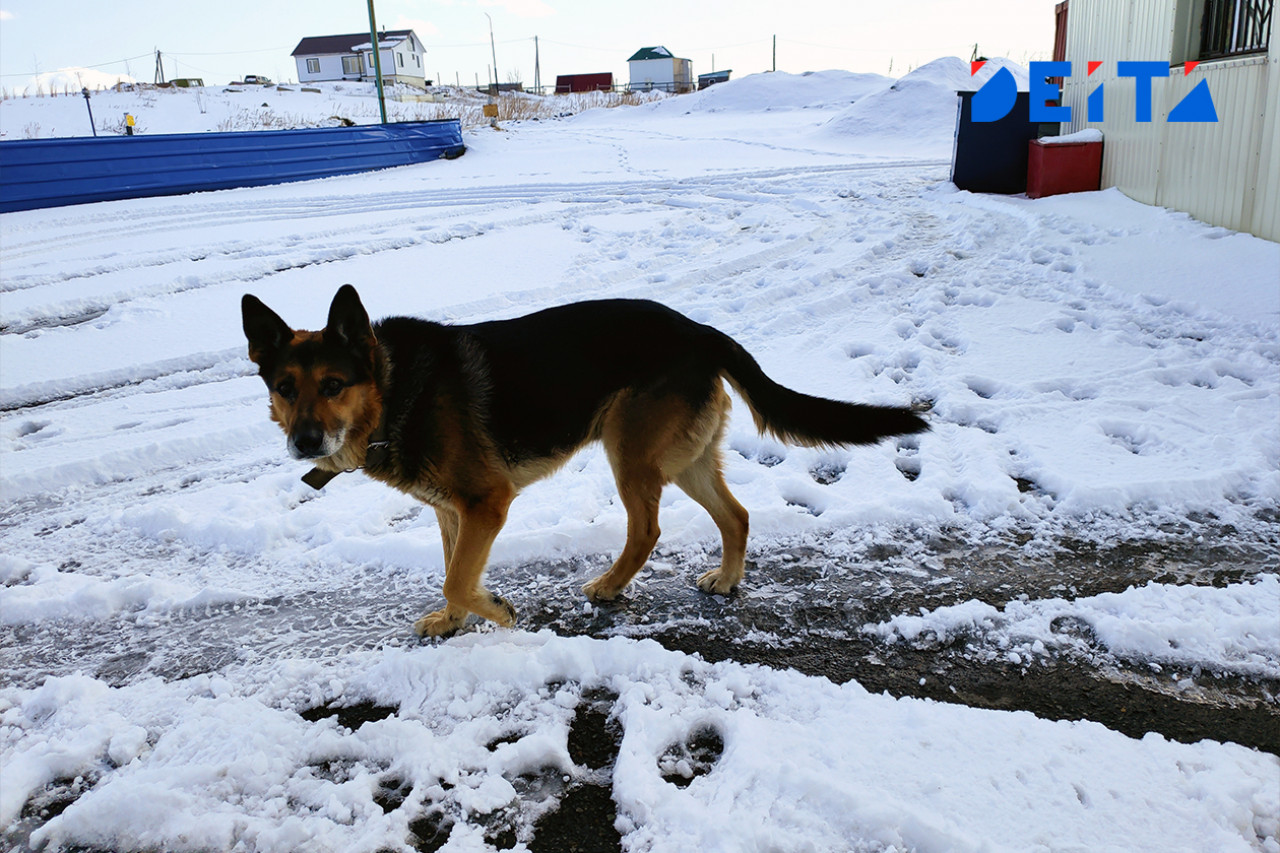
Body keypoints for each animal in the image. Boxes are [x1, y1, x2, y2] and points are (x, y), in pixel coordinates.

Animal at [240, 289, 926, 635]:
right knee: (736, 515)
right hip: (684, 459)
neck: (391, 388)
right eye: (284, 388)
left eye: (333, 385)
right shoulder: (451, 512)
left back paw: (610, 586)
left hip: (632, 453)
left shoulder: (487, 504)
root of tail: (700, 331)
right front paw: (455, 621)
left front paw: (498, 611)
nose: (304, 443)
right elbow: (451, 570)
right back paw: (728, 579)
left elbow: (457, 576)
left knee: (647, 528)